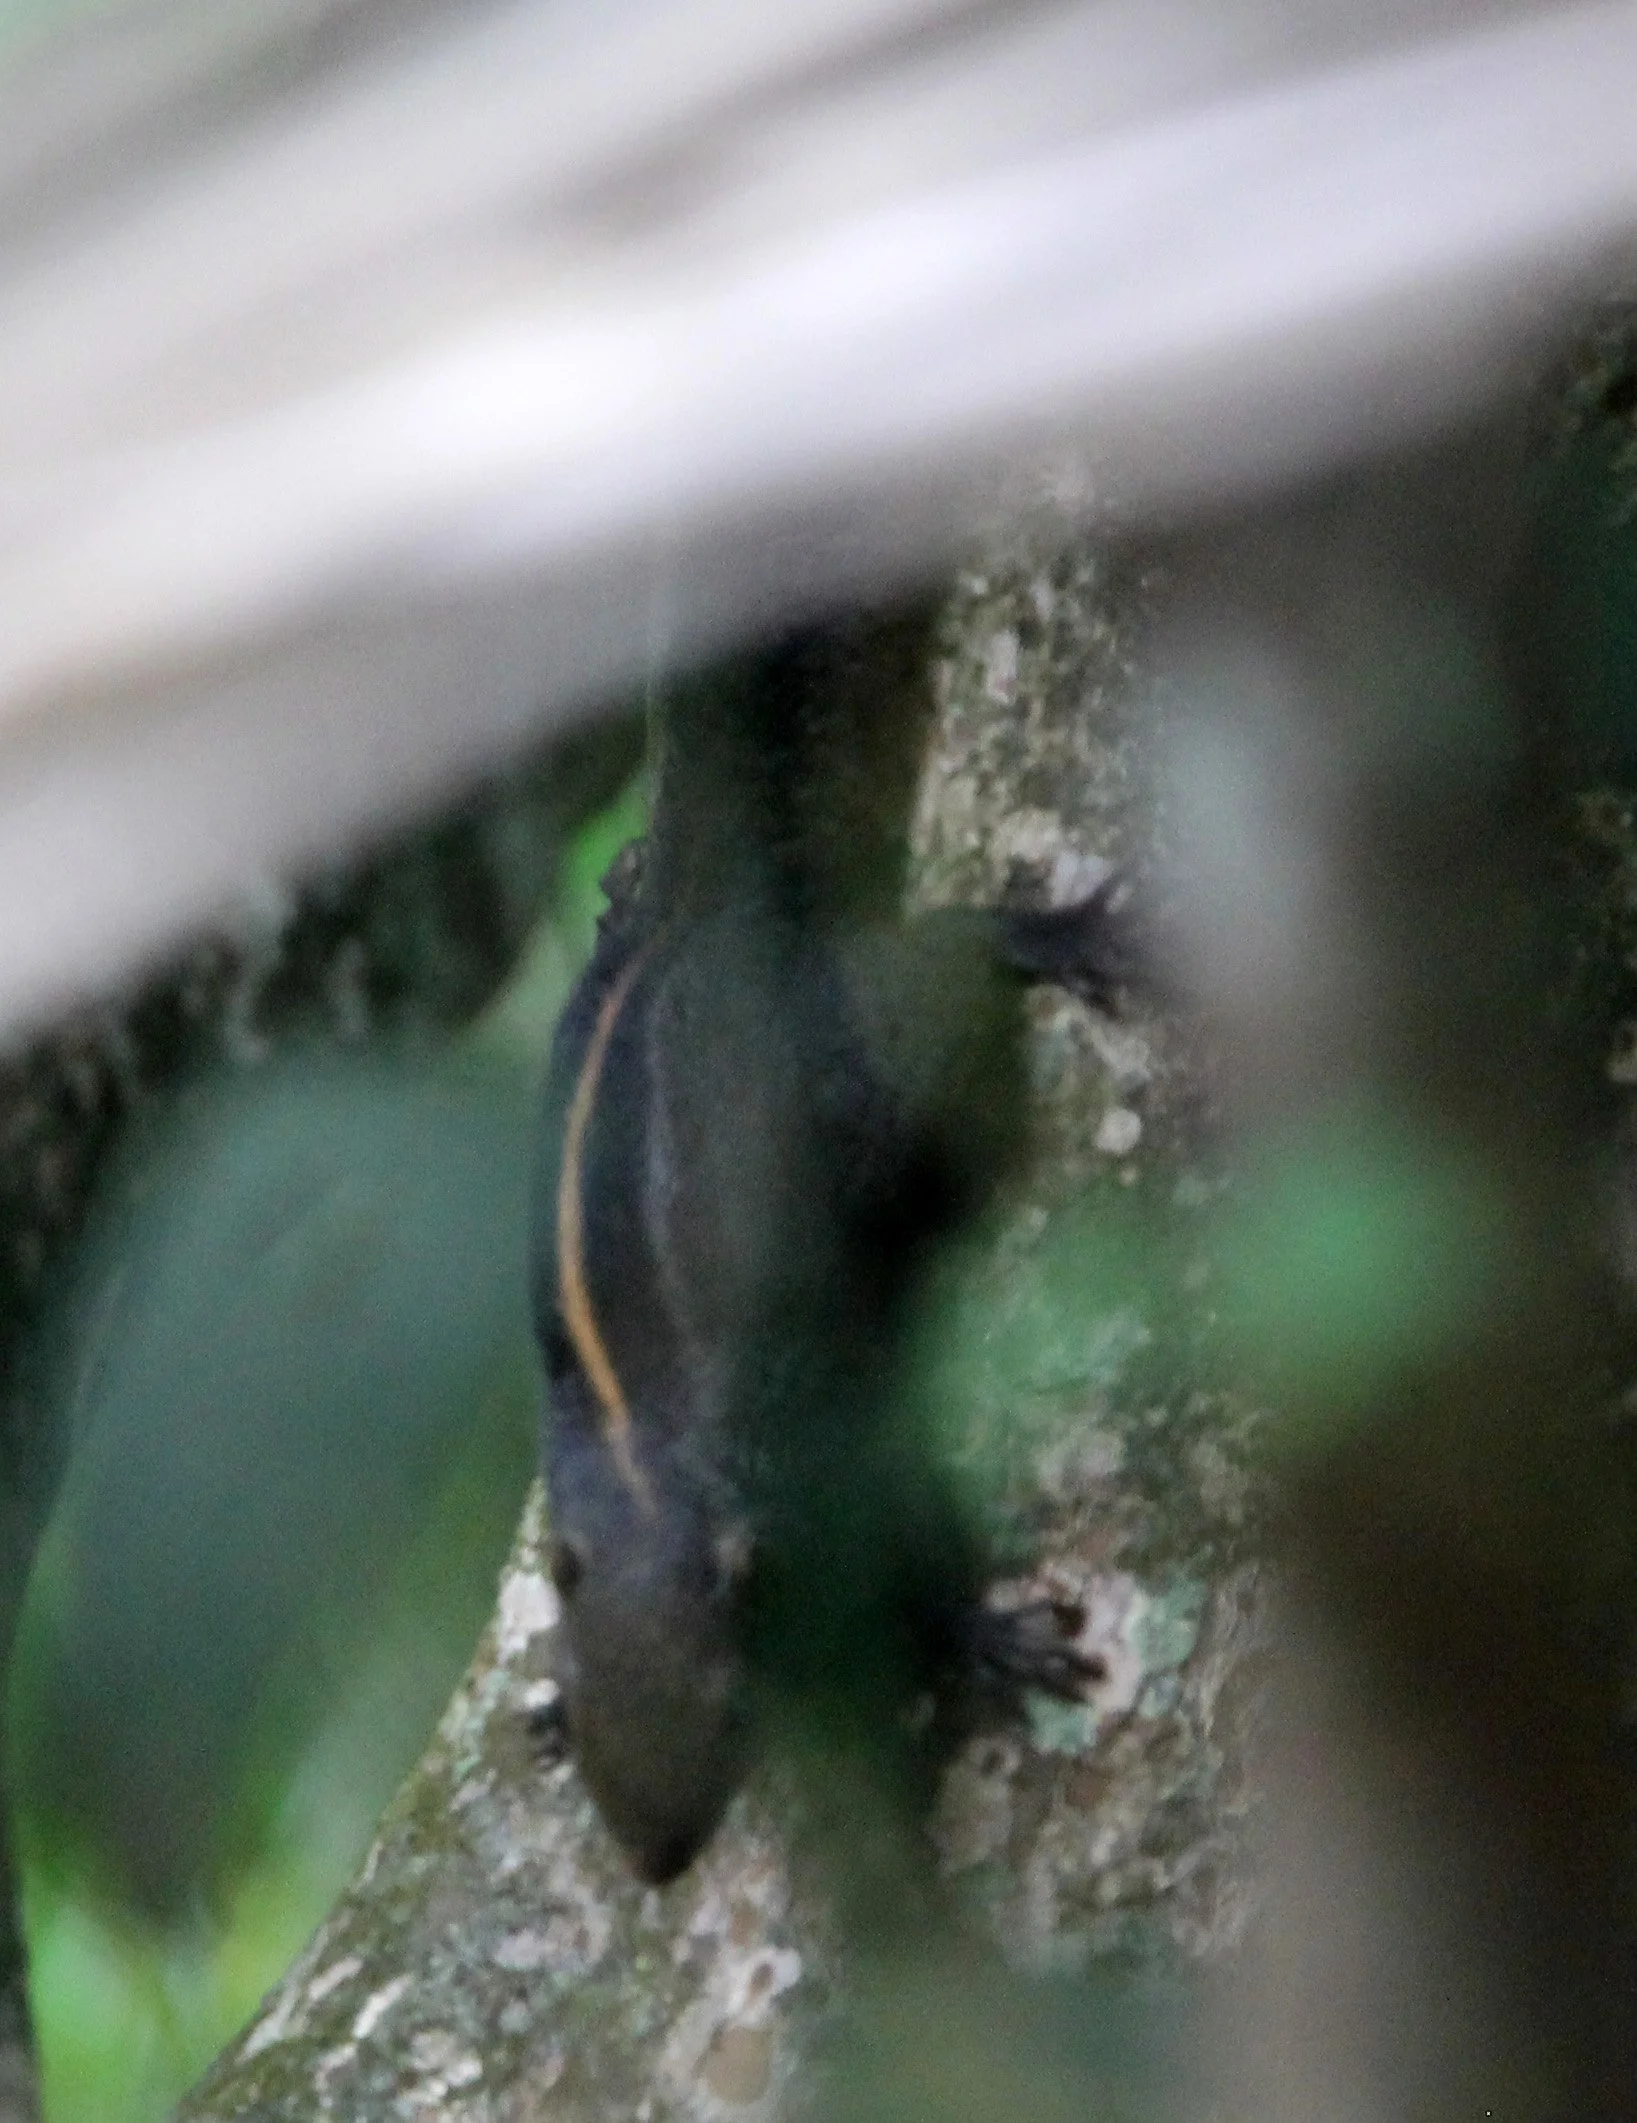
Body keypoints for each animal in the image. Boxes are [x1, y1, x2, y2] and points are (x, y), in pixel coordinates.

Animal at [529, 611, 1138, 1884]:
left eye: (731, 1708)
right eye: (582, 1681)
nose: (657, 1862)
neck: (640, 1472)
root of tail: (701, 913)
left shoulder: (816, 1435)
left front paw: (979, 1631)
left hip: (862, 1039)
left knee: (947, 953)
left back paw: (1045, 931)